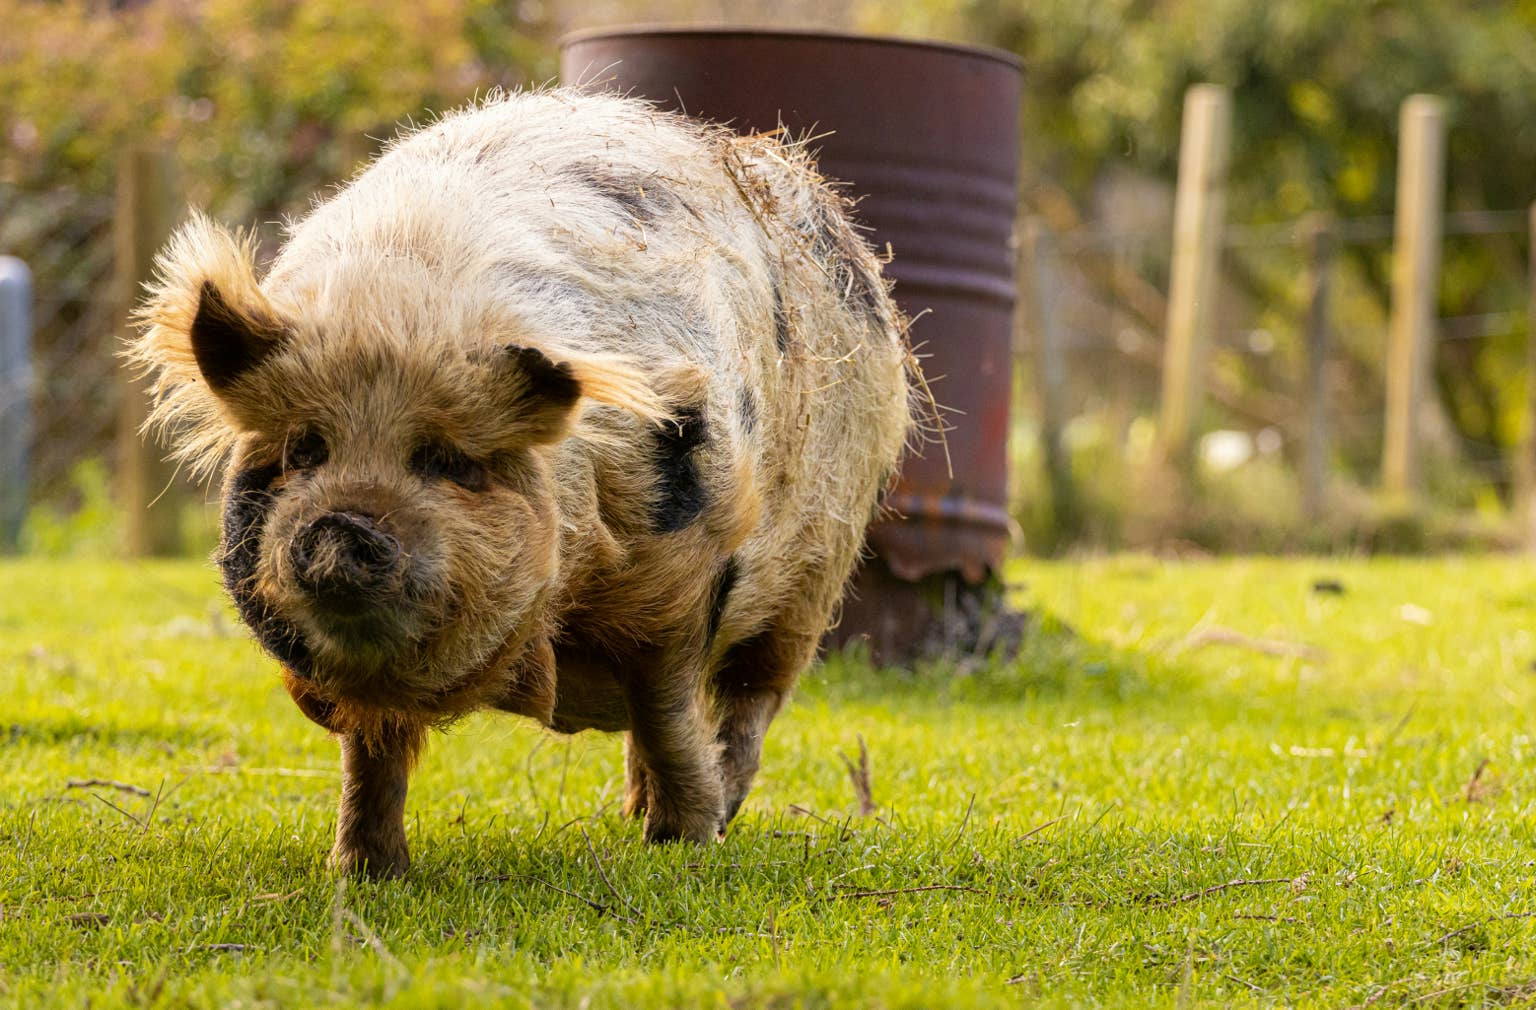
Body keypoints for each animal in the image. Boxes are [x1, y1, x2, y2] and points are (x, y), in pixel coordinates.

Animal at [130, 88, 914, 878]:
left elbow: (666, 708)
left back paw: (708, 812)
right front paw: (362, 871)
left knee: (749, 701)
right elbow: (370, 753)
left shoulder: (682, 572)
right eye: (304, 450)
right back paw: (633, 811)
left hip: (816, 574)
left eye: (447, 461)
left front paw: (684, 844)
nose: (340, 527)